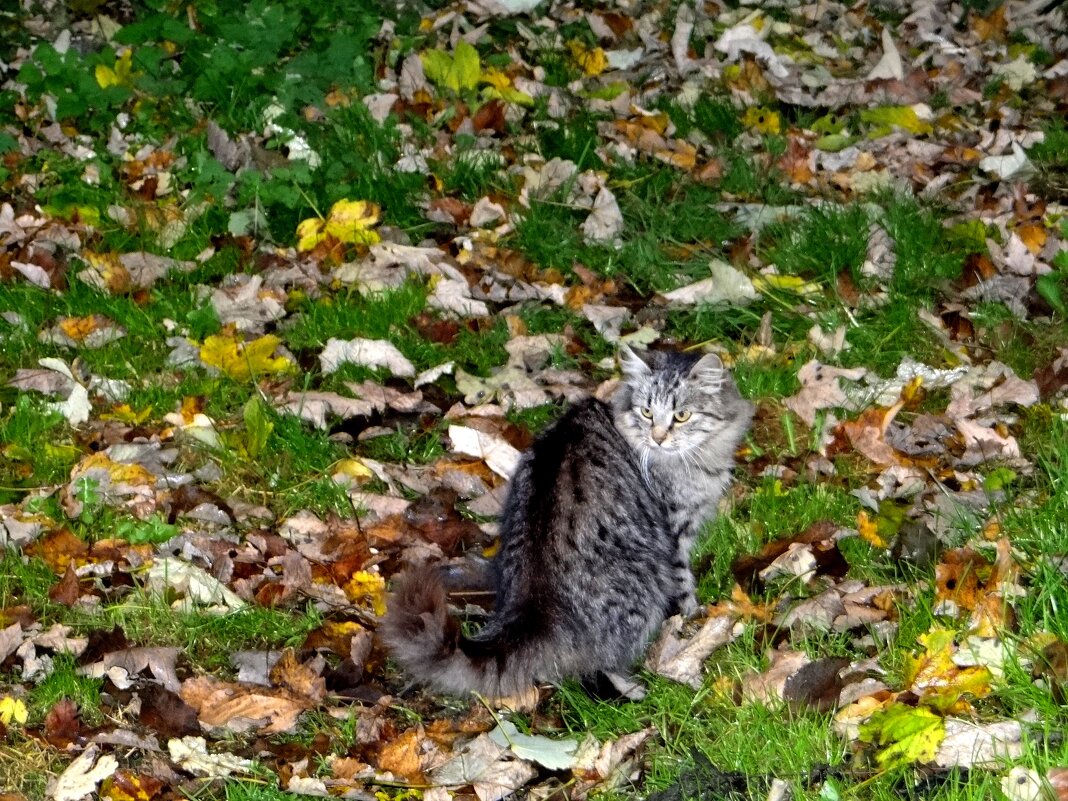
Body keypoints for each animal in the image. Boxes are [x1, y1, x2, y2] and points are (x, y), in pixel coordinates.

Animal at [380, 346, 756, 696]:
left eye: (681, 415)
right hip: (643, 591)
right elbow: (684, 585)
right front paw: (693, 617)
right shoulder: (675, 533)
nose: (659, 437)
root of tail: (534, 604)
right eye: (647, 412)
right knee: (599, 662)